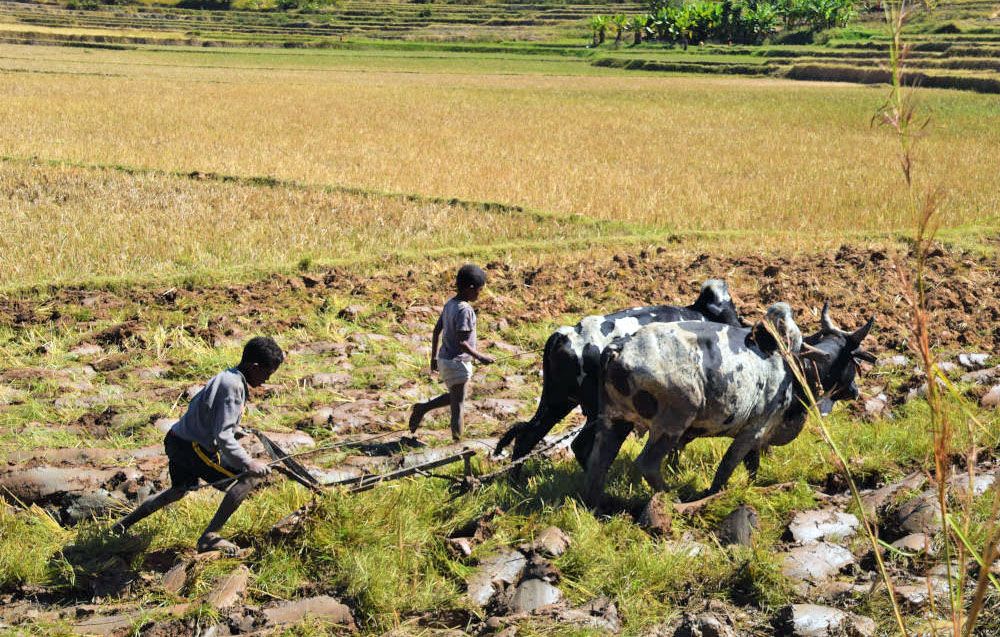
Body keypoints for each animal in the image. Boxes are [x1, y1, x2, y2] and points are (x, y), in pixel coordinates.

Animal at [584, 300, 872, 504]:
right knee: (648, 464)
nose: (856, 391)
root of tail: (620, 347)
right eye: (853, 362)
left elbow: (752, 466)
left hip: (614, 422)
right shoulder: (753, 429)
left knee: (597, 465)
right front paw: (713, 495)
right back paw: (673, 497)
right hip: (672, 421)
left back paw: (596, 504)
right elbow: (726, 467)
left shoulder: (757, 437)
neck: (796, 365)